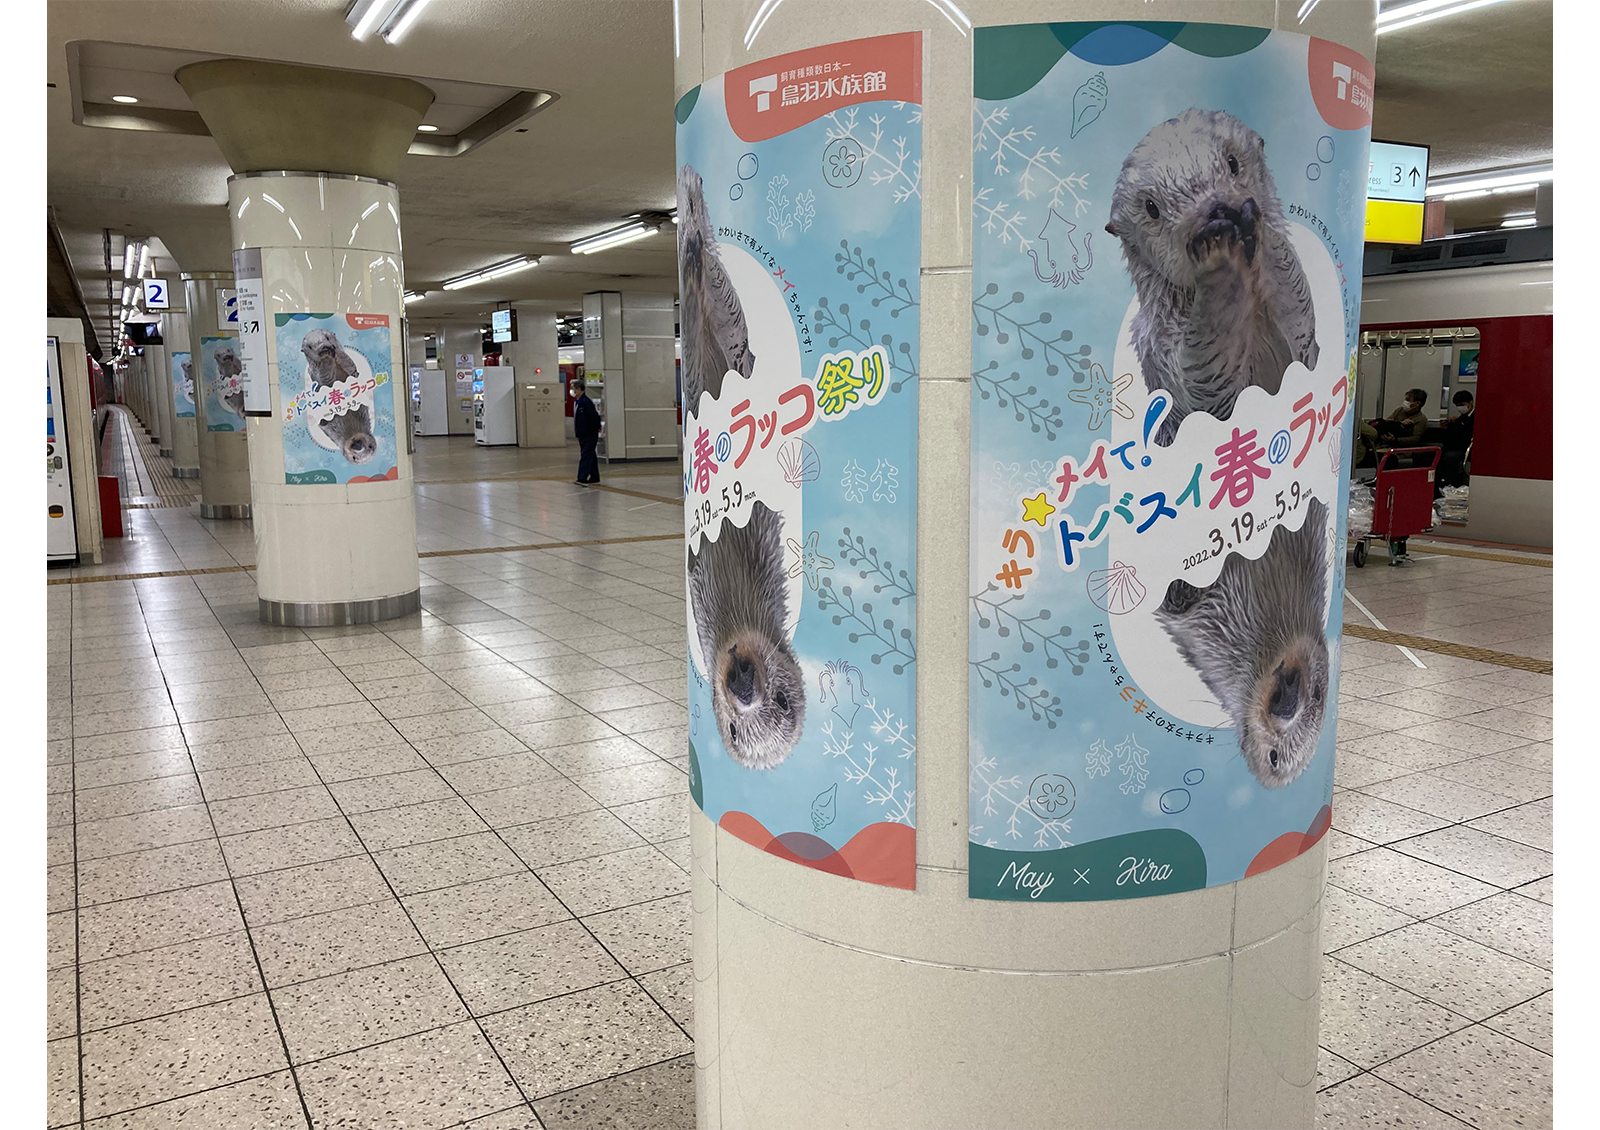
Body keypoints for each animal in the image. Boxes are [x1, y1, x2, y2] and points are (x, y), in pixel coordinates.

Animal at [1107, 108, 1318, 444]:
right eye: (1151, 208)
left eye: (1232, 163)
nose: (1217, 210)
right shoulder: (1162, 352)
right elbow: (1210, 384)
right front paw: (1219, 253)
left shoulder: (1303, 346)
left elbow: (1299, 320)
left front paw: (1254, 224)